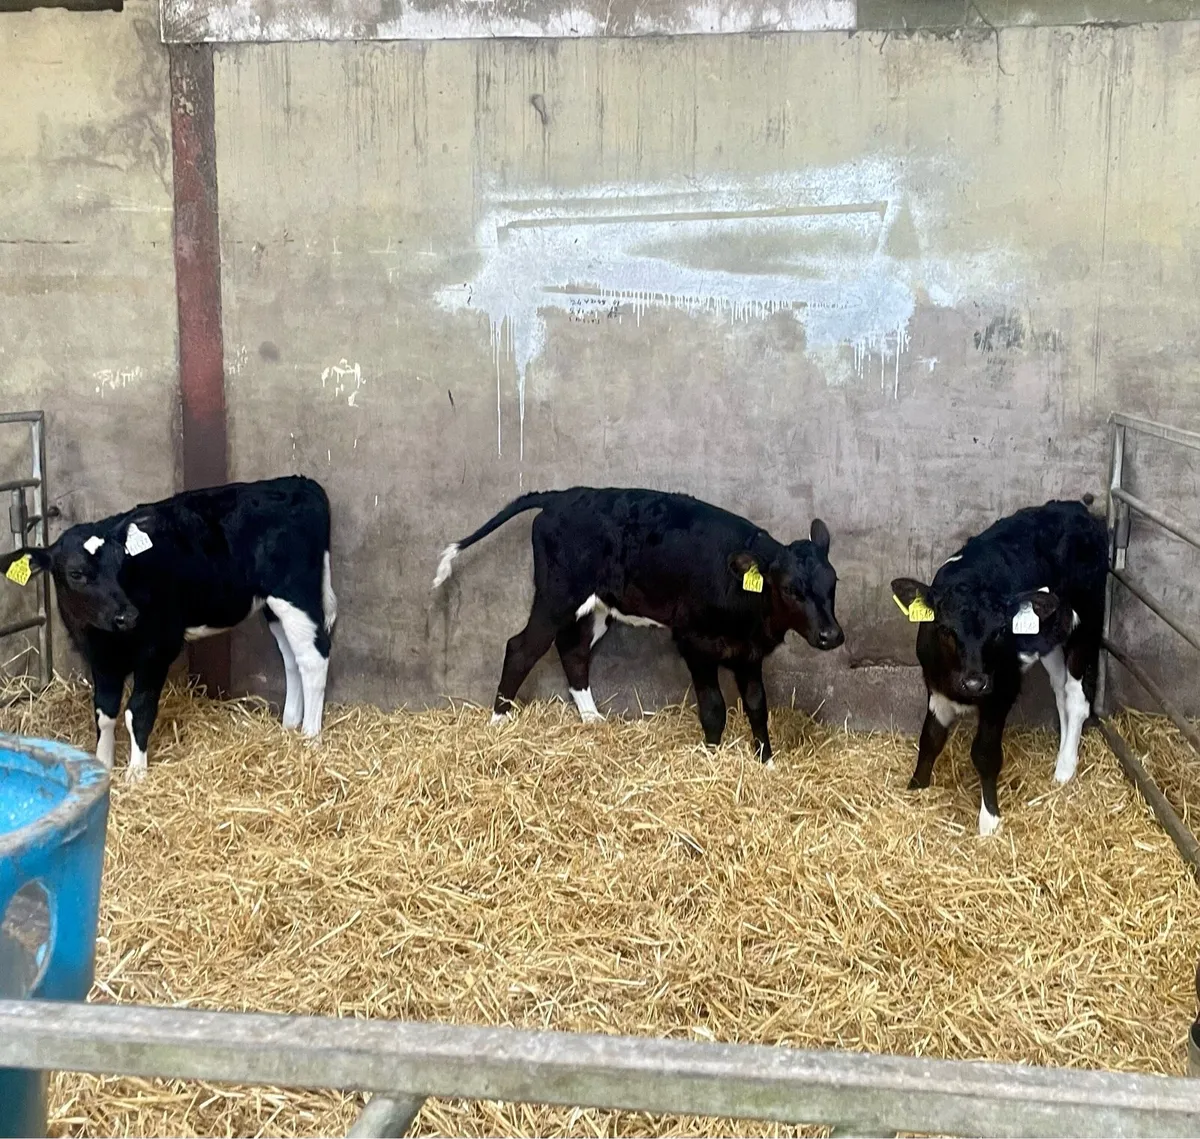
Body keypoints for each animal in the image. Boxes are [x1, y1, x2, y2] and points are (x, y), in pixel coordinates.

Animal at [0, 476, 337, 783]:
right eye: (76, 573)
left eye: (121, 565)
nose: (127, 615)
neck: (106, 637)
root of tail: (299, 482)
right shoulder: (101, 659)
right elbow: (104, 713)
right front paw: (102, 765)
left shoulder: (157, 648)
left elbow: (138, 710)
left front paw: (136, 774)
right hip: (272, 605)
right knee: (292, 659)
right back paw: (290, 725)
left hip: (296, 593)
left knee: (313, 659)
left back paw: (310, 738)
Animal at [432, 487, 844, 764]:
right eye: (790, 589)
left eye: (833, 583)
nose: (831, 635)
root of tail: (563, 496)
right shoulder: (694, 642)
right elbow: (714, 707)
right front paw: (709, 759)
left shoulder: (749, 652)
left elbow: (758, 706)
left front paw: (767, 763)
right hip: (556, 594)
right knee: (521, 648)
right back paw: (497, 723)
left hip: (595, 604)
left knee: (573, 649)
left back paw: (592, 719)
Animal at [890, 496, 1108, 836]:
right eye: (944, 630)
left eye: (1000, 631)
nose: (974, 683)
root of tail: (1075, 507)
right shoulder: (936, 688)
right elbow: (930, 740)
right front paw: (915, 790)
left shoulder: (1002, 690)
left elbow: (984, 753)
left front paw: (989, 821)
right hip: (1048, 640)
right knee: (1059, 691)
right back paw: (1061, 751)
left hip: (1088, 622)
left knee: (1076, 698)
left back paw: (1064, 768)